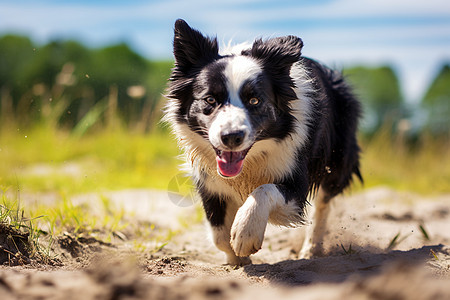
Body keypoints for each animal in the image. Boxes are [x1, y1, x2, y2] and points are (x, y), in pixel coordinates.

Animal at [164, 19, 362, 266]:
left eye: (254, 101)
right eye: (210, 99)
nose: (231, 137)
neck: (252, 160)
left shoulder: (295, 183)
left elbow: (264, 190)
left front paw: (245, 235)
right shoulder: (210, 183)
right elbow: (219, 235)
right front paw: (238, 261)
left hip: (337, 160)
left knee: (323, 204)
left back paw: (311, 250)